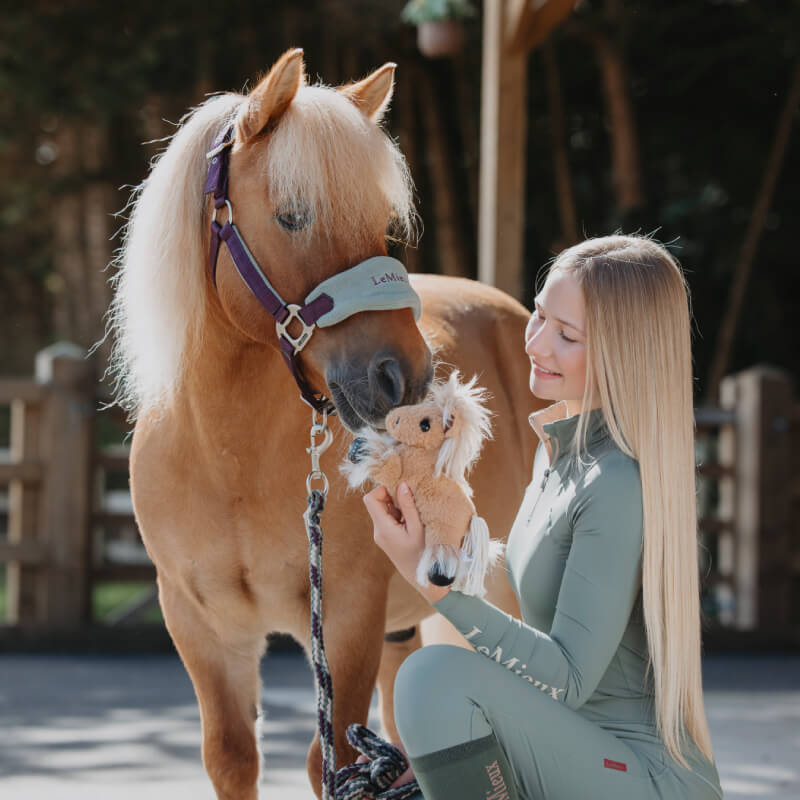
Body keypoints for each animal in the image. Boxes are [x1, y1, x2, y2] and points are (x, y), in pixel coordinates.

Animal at [110, 48, 541, 800]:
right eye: (291, 216)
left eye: (382, 221)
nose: (405, 377)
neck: (230, 459)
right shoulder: (201, 627)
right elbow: (232, 755)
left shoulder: (346, 619)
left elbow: (330, 759)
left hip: (494, 595)